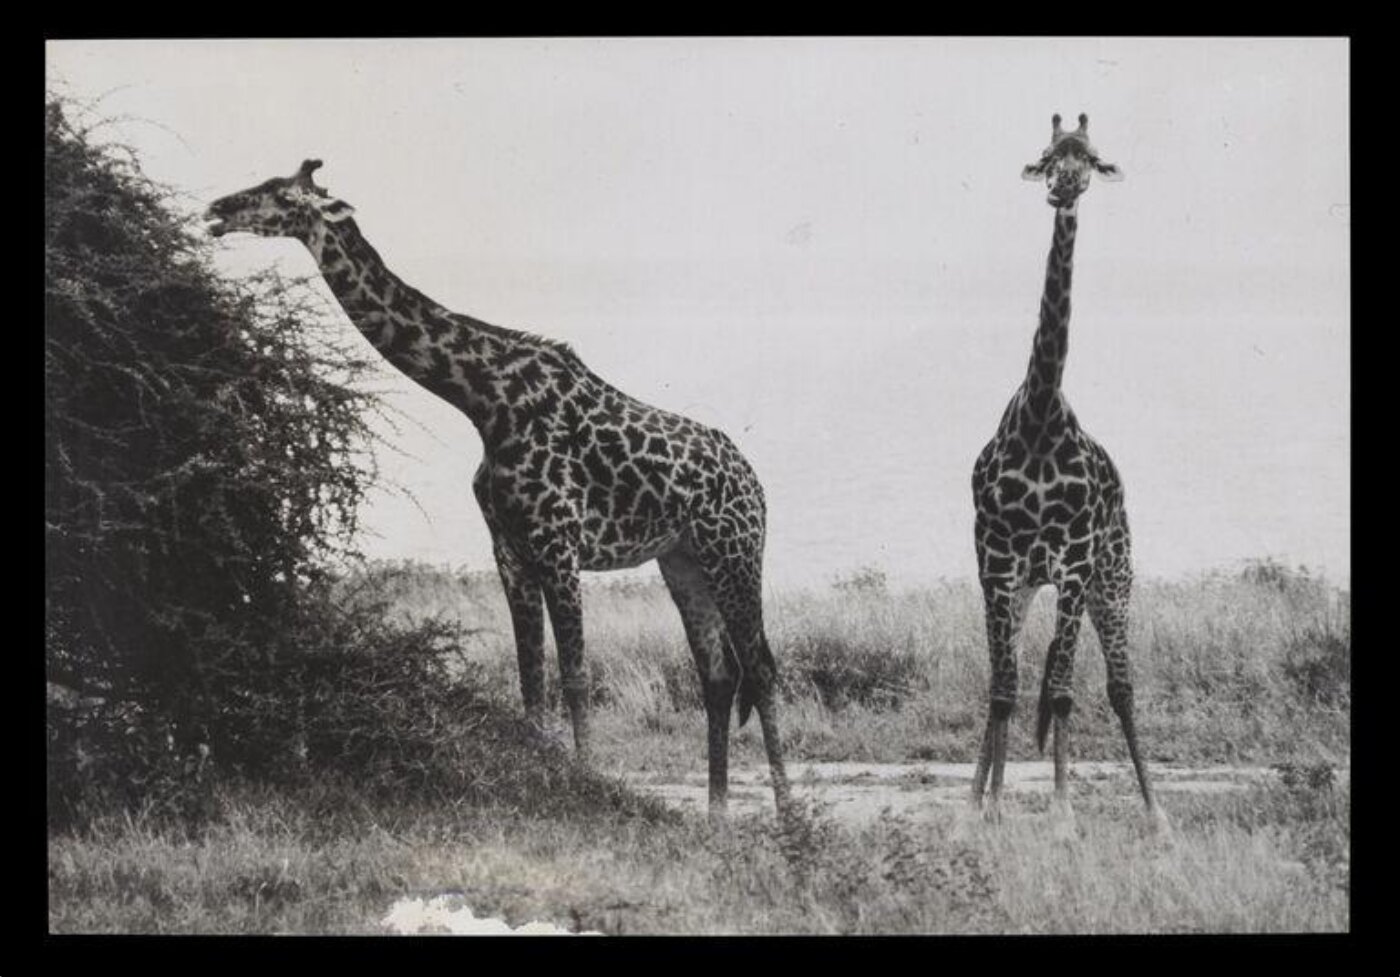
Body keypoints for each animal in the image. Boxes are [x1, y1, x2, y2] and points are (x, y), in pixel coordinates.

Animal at [205, 160, 792, 823]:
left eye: (279, 194)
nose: (217, 210)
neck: (482, 399)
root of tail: (755, 482)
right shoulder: (510, 548)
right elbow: (529, 677)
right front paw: (542, 781)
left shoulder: (557, 543)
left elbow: (574, 675)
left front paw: (588, 783)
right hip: (682, 559)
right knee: (718, 674)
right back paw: (716, 815)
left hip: (733, 550)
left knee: (762, 669)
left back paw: (790, 816)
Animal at [970, 114, 1162, 829]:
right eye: (1049, 155)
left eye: (1093, 158)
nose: (1064, 187)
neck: (1040, 417)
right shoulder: (998, 564)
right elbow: (1003, 688)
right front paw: (985, 809)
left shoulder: (1076, 564)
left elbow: (1058, 692)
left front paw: (1062, 816)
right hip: (1030, 586)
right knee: (1011, 678)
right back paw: (981, 793)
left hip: (1113, 576)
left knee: (1118, 686)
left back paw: (1157, 816)